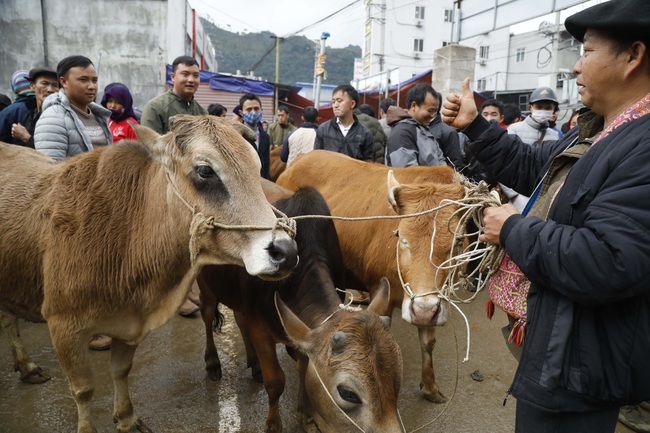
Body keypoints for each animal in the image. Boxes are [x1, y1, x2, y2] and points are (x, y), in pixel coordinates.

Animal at [0, 114, 298, 432]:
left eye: (256, 165)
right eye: (205, 171)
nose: (286, 251)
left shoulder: (129, 323)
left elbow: (121, 371)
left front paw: (127, 418)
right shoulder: (63, 323)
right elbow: (83, 390)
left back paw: (27, 366)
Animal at [197, 182, 402, 432]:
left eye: (398, 377)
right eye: (348, 394)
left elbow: (304, 368)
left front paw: (305, 411)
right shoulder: (261, 329)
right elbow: (275, 382)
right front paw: (273, 424)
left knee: (239, 318)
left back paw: (254, 364)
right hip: (204, 284)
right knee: (207, 315)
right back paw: (213, 363)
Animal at [276, 150, 464, 404]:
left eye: (457, 242)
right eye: (402, 238)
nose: (423, 310)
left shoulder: (431, 302)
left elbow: (428, 342)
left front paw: (430, 387)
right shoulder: (380, 290)